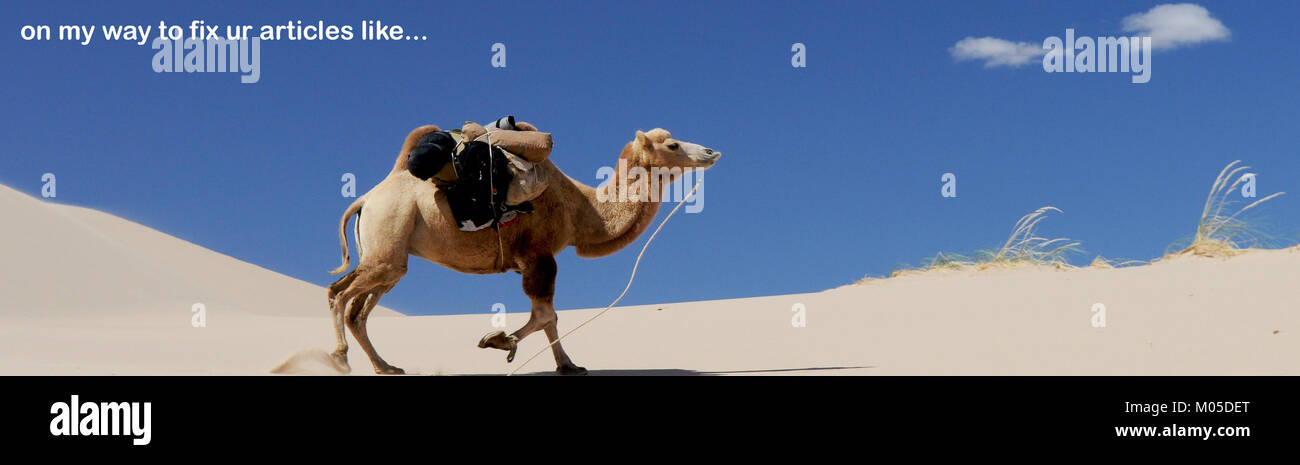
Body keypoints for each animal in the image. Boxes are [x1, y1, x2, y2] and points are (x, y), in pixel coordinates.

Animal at [327, 125, 721, 375]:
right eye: (672, 145)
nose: (711, 151)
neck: (582, 209)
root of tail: (365, 199)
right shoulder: (539, 256)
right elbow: (546, 315)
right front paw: (499, 341)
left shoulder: (536, 260)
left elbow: (550, 317)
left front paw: (568, 366)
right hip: (387, 237)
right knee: (338, 293)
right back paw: (340, 357)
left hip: (390, 257)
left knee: (358, 310)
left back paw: (385, 366)